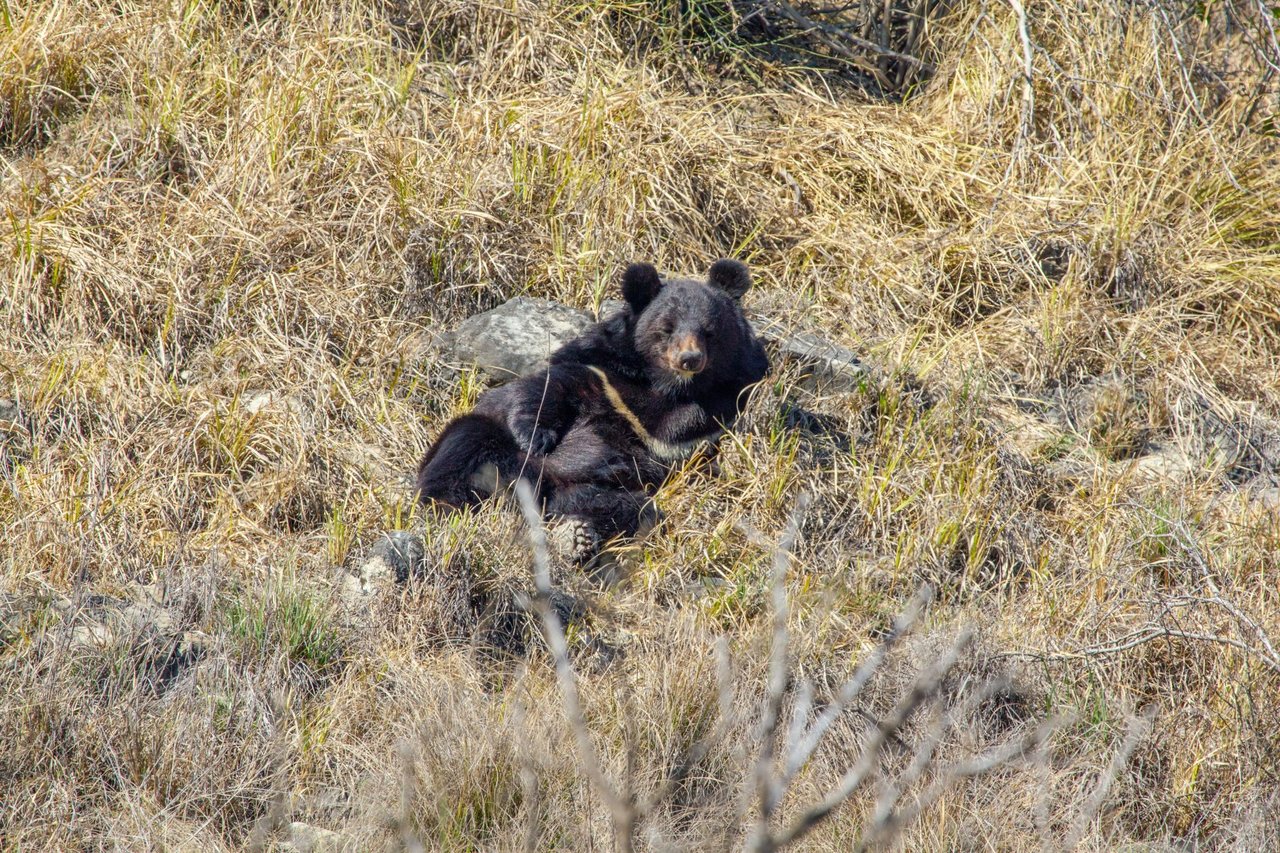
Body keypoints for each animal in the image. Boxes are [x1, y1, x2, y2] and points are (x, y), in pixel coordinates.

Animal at [414, 256, 762, 555]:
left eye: (710, 332)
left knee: (629, 509)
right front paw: (535, 437)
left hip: (590, 493)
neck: (666, 386)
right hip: (489, 449)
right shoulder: (599, 369)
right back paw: (445, 504)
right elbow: (547, 387)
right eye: (667, 328)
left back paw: (579, 535)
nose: (690, 358)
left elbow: (691, 429)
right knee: (465, 441)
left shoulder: (719, 401)